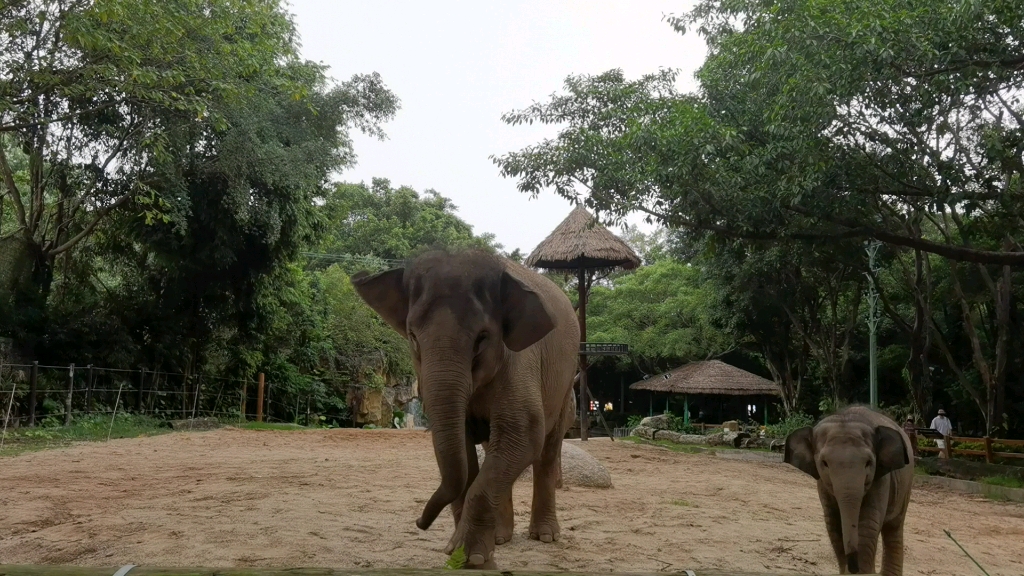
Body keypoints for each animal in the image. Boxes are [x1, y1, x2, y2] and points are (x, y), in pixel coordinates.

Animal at [350, 249, 577, 565]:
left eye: (482, 338)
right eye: (413, 337)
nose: (420, 523)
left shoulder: (520, 364)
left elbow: (523, 435)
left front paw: (470, 557)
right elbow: (467, 455)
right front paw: (458, 549)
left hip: (566, 385)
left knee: (546, 450)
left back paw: (544, 536)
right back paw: (501, 538)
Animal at [782, 403, 913, 573]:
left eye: (868, 463)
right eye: (824, 463)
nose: (853, 566)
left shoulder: (881, 480)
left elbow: (868, 524)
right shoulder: (823, 484)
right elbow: (833, 525)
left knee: (894, 528)